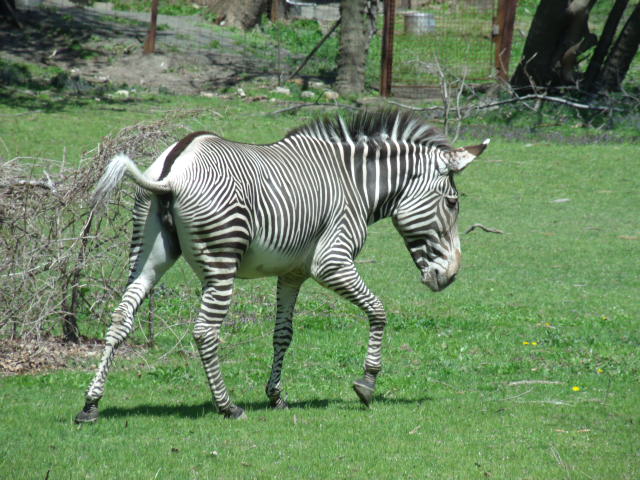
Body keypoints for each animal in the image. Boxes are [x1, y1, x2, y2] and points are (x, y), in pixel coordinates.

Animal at [75, 109, 489, 422]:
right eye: (452, 202)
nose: (451, 276)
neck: (356, 183)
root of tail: (175, 164)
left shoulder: (293, 272)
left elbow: (283, 333)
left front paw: (275, 395)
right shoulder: (331, 262)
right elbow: (378, 311)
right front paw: (367, 383)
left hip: (148, 254)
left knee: (121, 317)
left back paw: (91, 404)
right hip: (221, 260)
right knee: (205, 331)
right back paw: (228, 407)